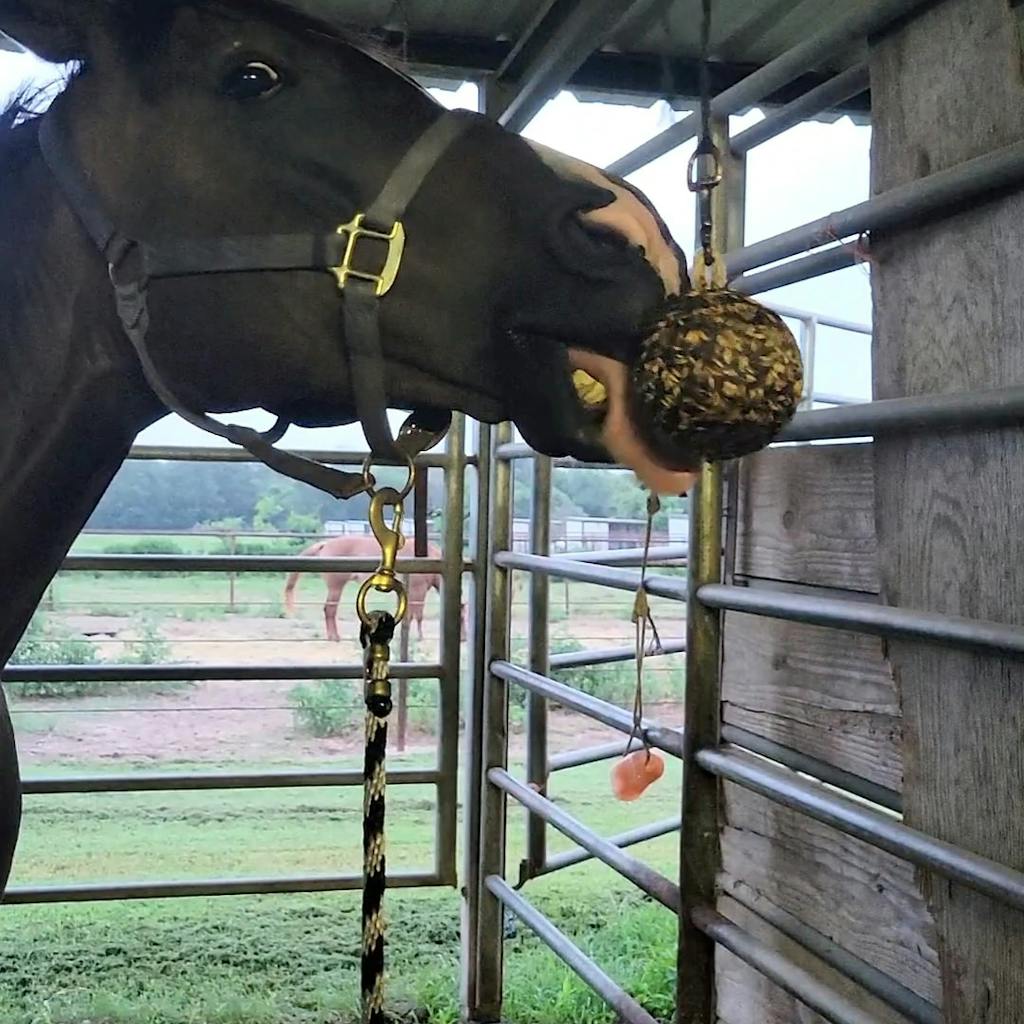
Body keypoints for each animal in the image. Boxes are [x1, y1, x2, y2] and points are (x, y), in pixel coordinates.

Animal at [283, 535, 466, 643]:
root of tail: (325, 544)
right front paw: (419, 637)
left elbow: (408, 616)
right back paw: (335, 637)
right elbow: (418, 615)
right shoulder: (418, 590)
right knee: (329, 610)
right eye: (462, 617)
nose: (464, 638)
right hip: (336, 587)